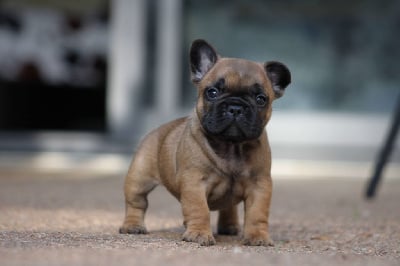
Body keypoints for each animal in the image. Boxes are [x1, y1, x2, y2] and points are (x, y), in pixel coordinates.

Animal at [119, 39, 290, 245]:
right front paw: (199, 233)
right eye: (212, 92)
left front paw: (257, 236)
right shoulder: (194, 183)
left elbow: (257, 213)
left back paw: (229, 227)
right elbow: (199, 209)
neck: (231, 146)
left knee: (229, 206)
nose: (236, 107)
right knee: (136, 202)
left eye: (261, 99)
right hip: (139, 178)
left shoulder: (260, 185)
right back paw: (133, 225)